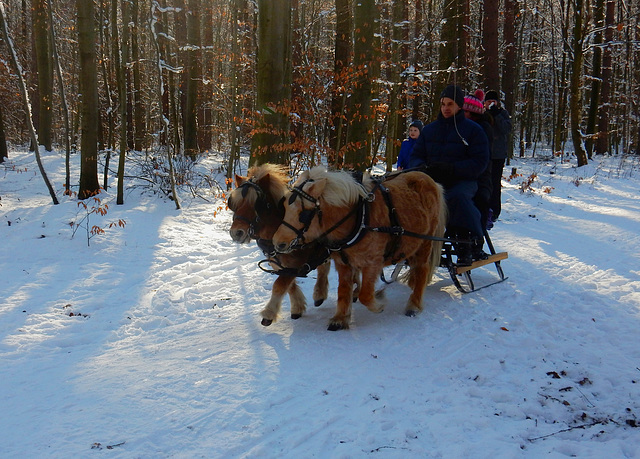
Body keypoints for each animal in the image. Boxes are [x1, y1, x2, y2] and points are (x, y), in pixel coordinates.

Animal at [228, 164, 332, 326]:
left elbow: (279, 285)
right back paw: (320, 294)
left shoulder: (296, 263)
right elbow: (289, 286)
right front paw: (297, 307)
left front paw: (269, 313)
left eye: (256, 204)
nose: (236, 233)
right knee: (325, 266)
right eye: (235, 203)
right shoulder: (280, 265)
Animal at [272, 167, 444, 332]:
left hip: (425, 242)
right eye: (284, 207)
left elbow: (366, 295)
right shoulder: (343, 263)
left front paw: (379, 302)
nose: (278, 243)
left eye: (304, 213)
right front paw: (340, 319)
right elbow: (343, 290)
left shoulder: (373, 262)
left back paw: (414, 305)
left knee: (422, 269)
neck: (358, 218)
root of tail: (431, 180)